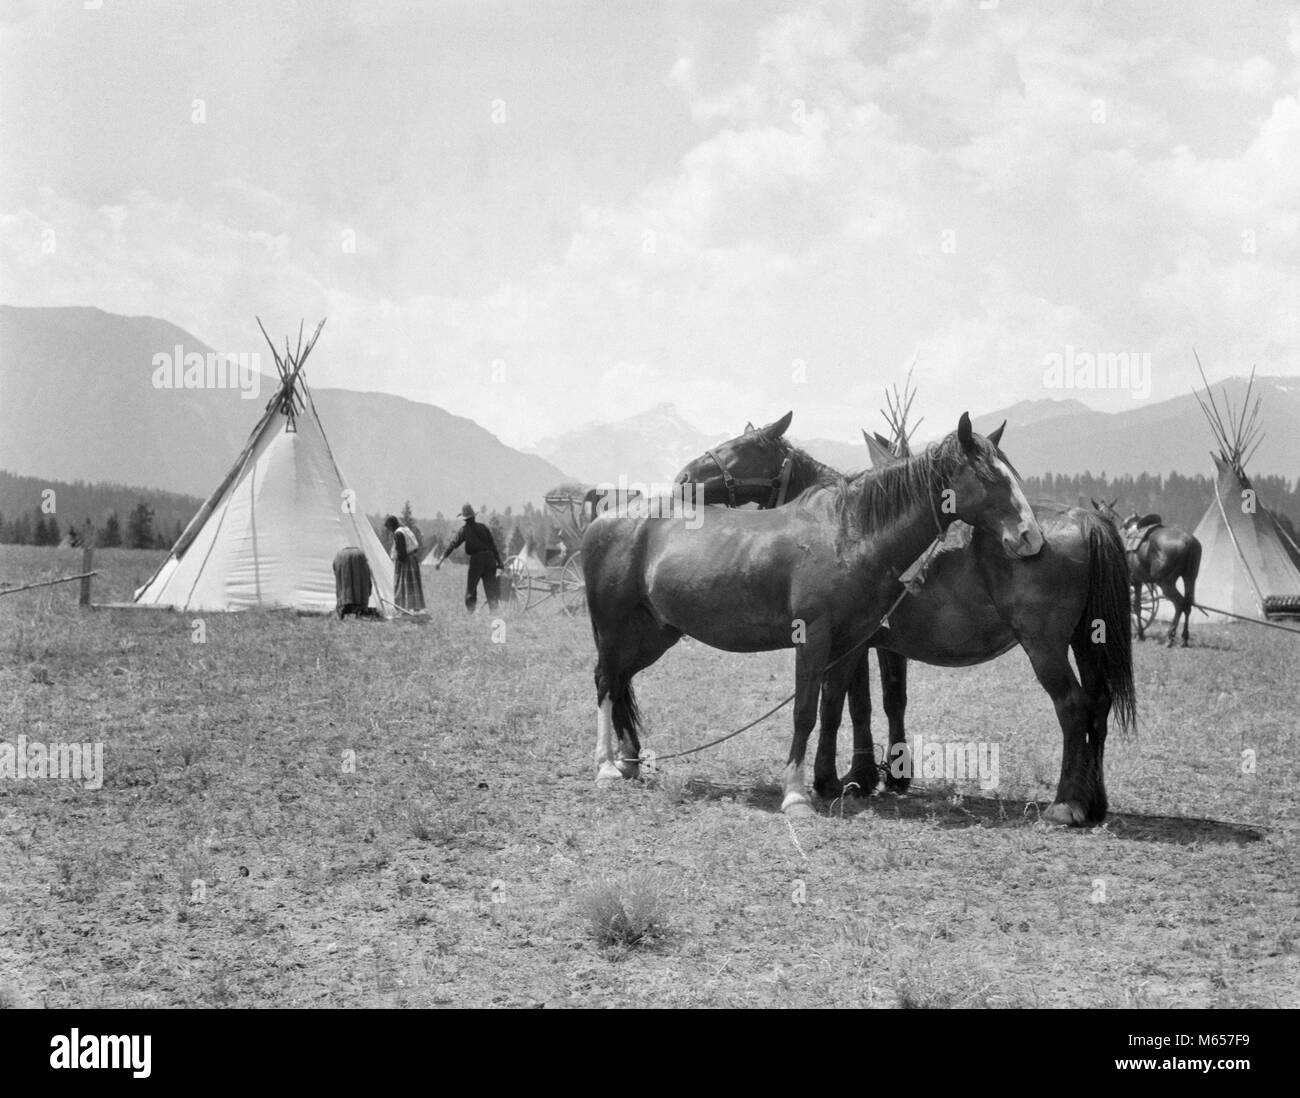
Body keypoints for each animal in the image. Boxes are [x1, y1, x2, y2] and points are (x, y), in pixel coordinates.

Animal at [582, 415, 1045, 816]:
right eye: (990, 477)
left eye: (1008, 474)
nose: (1030, 537)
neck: (849, 533)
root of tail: (603, 519)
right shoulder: (814, 637)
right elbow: (807, 710)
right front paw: (797, 794)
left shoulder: (851, 643)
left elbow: (834, 709)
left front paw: (832, 783)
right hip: (613, 626)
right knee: (605, 680)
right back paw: (605, 766)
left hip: (654, 633)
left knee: (620, 680)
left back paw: (630, 762)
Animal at [676, 410, 1133, 821]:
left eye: (736, 448)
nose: (683, 477)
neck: (851, 530)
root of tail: (1086, 517)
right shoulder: (876, 643)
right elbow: (888, 699)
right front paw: (886, 775)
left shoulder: (853, 642)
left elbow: (848, 704)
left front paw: (848, 777)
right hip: (1086, 641)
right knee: (1098, 703)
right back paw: (1094, 801)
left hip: (1045, 647)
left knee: (1072, 706)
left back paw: (1066, 803)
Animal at [1092, 501, 1201, 647]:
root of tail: (1188, 541)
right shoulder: (1137, 582)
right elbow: (1137, 607)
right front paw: (1140, 634)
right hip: (1190, 578)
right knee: (1188, 604)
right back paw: (1184, 638)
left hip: (1165, 582)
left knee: (1180, 604)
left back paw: (1171, 636)